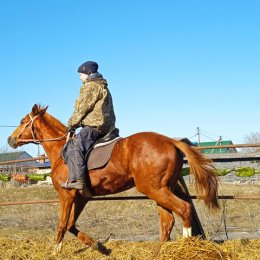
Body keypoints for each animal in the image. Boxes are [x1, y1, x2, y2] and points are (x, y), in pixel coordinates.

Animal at [7, 104, 219, 254]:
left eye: (22, 121)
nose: (10, 139)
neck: (61, 151)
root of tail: (171, 141)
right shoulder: (82, 197)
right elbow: (70, 225)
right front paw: (98, 246)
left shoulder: (66, 195)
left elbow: (61, 225)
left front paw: (55, 251)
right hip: (161, 191)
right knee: (167, 221)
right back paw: (159, 252)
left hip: (155, 190)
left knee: (184, 209)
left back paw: (185, 247)